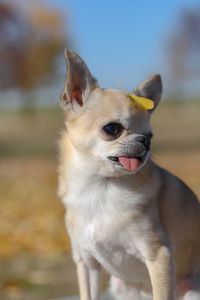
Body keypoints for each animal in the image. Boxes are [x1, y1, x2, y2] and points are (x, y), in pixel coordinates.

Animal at [57, 50, 200, 298]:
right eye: (112, 129)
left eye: (150, 135)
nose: (145, 141)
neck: (99, 187)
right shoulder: (86, 263)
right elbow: (87, 293)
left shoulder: (159, 256)